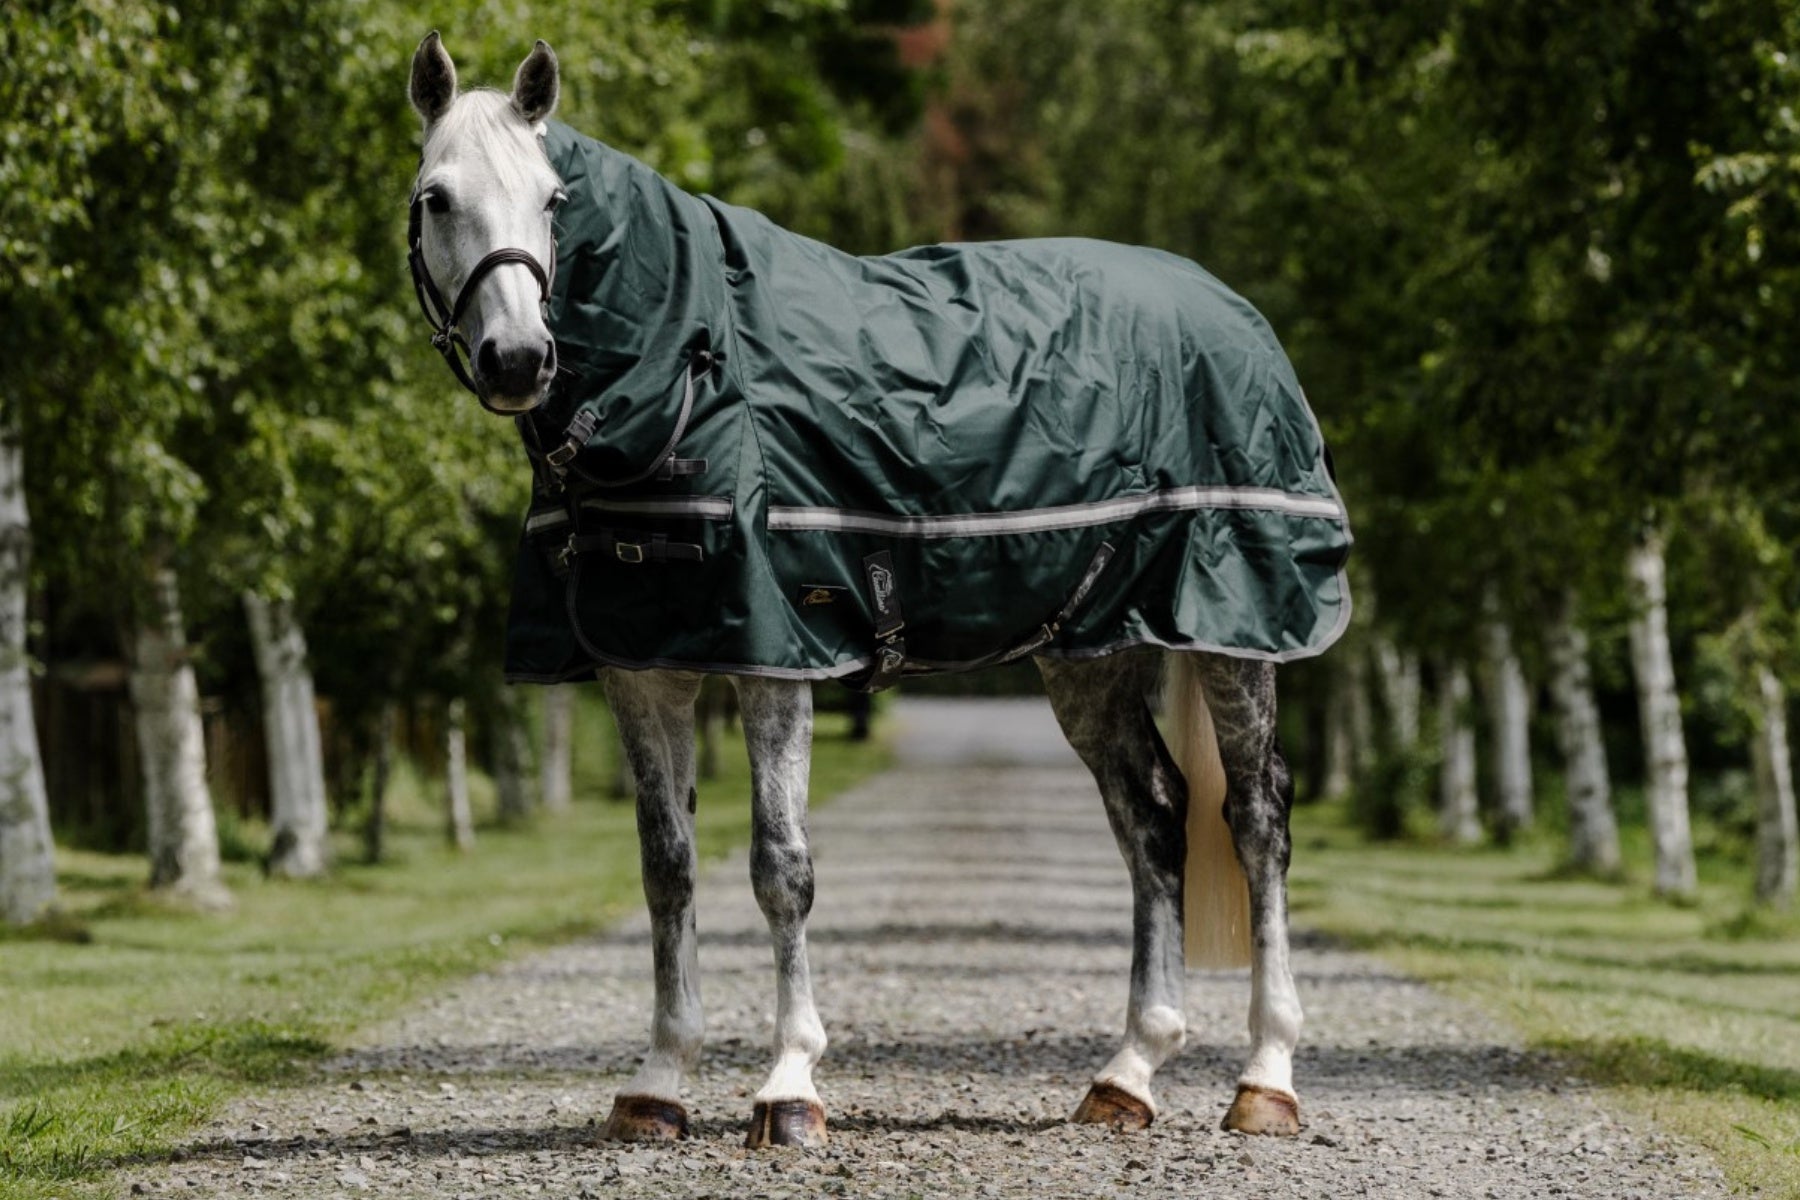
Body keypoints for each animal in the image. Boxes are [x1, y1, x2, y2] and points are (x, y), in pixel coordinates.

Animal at [405, 32, 1349, 1149]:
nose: (519, 358)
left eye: (553, 199)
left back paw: (1266, 1078)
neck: (683, 368)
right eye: (434, 198)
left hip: (1236, 629)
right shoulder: (643, 666)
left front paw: (788, 1089)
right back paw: (1128, 1074)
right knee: (1154, 814)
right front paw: (658, 1083)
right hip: (1092, 651)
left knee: (1257, 817)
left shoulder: (772, 657)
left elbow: (780, 868)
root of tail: (1233, 312)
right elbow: (667, 868)